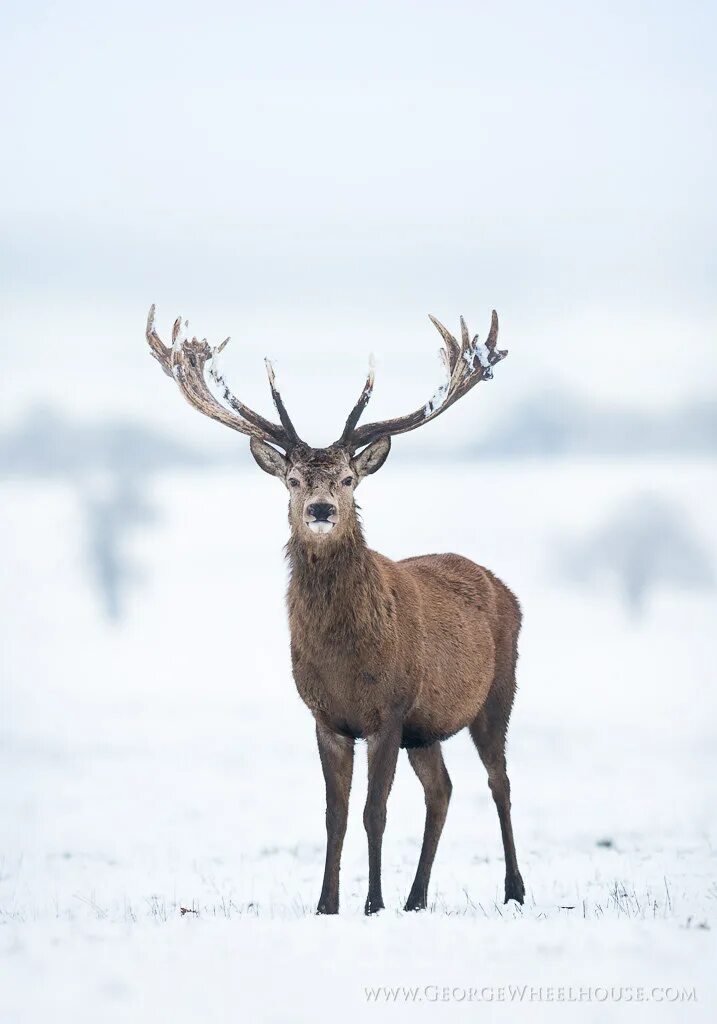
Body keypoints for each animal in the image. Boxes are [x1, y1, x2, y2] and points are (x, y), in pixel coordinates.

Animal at [147, 301, 528, 913]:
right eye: (293, 480)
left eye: (349, 478)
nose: (322, 509)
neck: (345, 659)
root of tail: (505, 589)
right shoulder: (326, 716)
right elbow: (335, 816)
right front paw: (328, 904)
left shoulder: (389, 711)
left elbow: (375, 813)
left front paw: (371, 903)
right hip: (428, 728)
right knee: (442, 789)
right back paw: (416, 898)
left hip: (499, 692)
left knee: (500, 782)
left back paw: (513, 889)